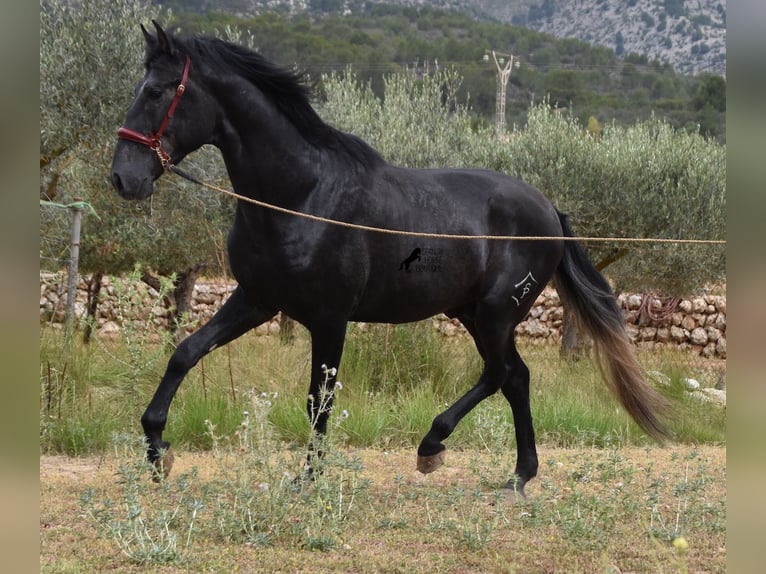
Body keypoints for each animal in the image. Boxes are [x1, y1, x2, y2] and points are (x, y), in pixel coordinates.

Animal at [111, 22, 668, 498]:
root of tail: (549, 208)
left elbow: (317, 400)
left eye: (156, 91)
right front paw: (157, 451)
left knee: (502, 375)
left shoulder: (329, 318)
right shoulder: (257, 300)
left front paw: (307, 479)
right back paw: (513, 475)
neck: (302, 196)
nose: (123, 178)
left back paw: (438, 447)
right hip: (473, 313)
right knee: (514, 378)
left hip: (495, 313)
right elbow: (185, 352)